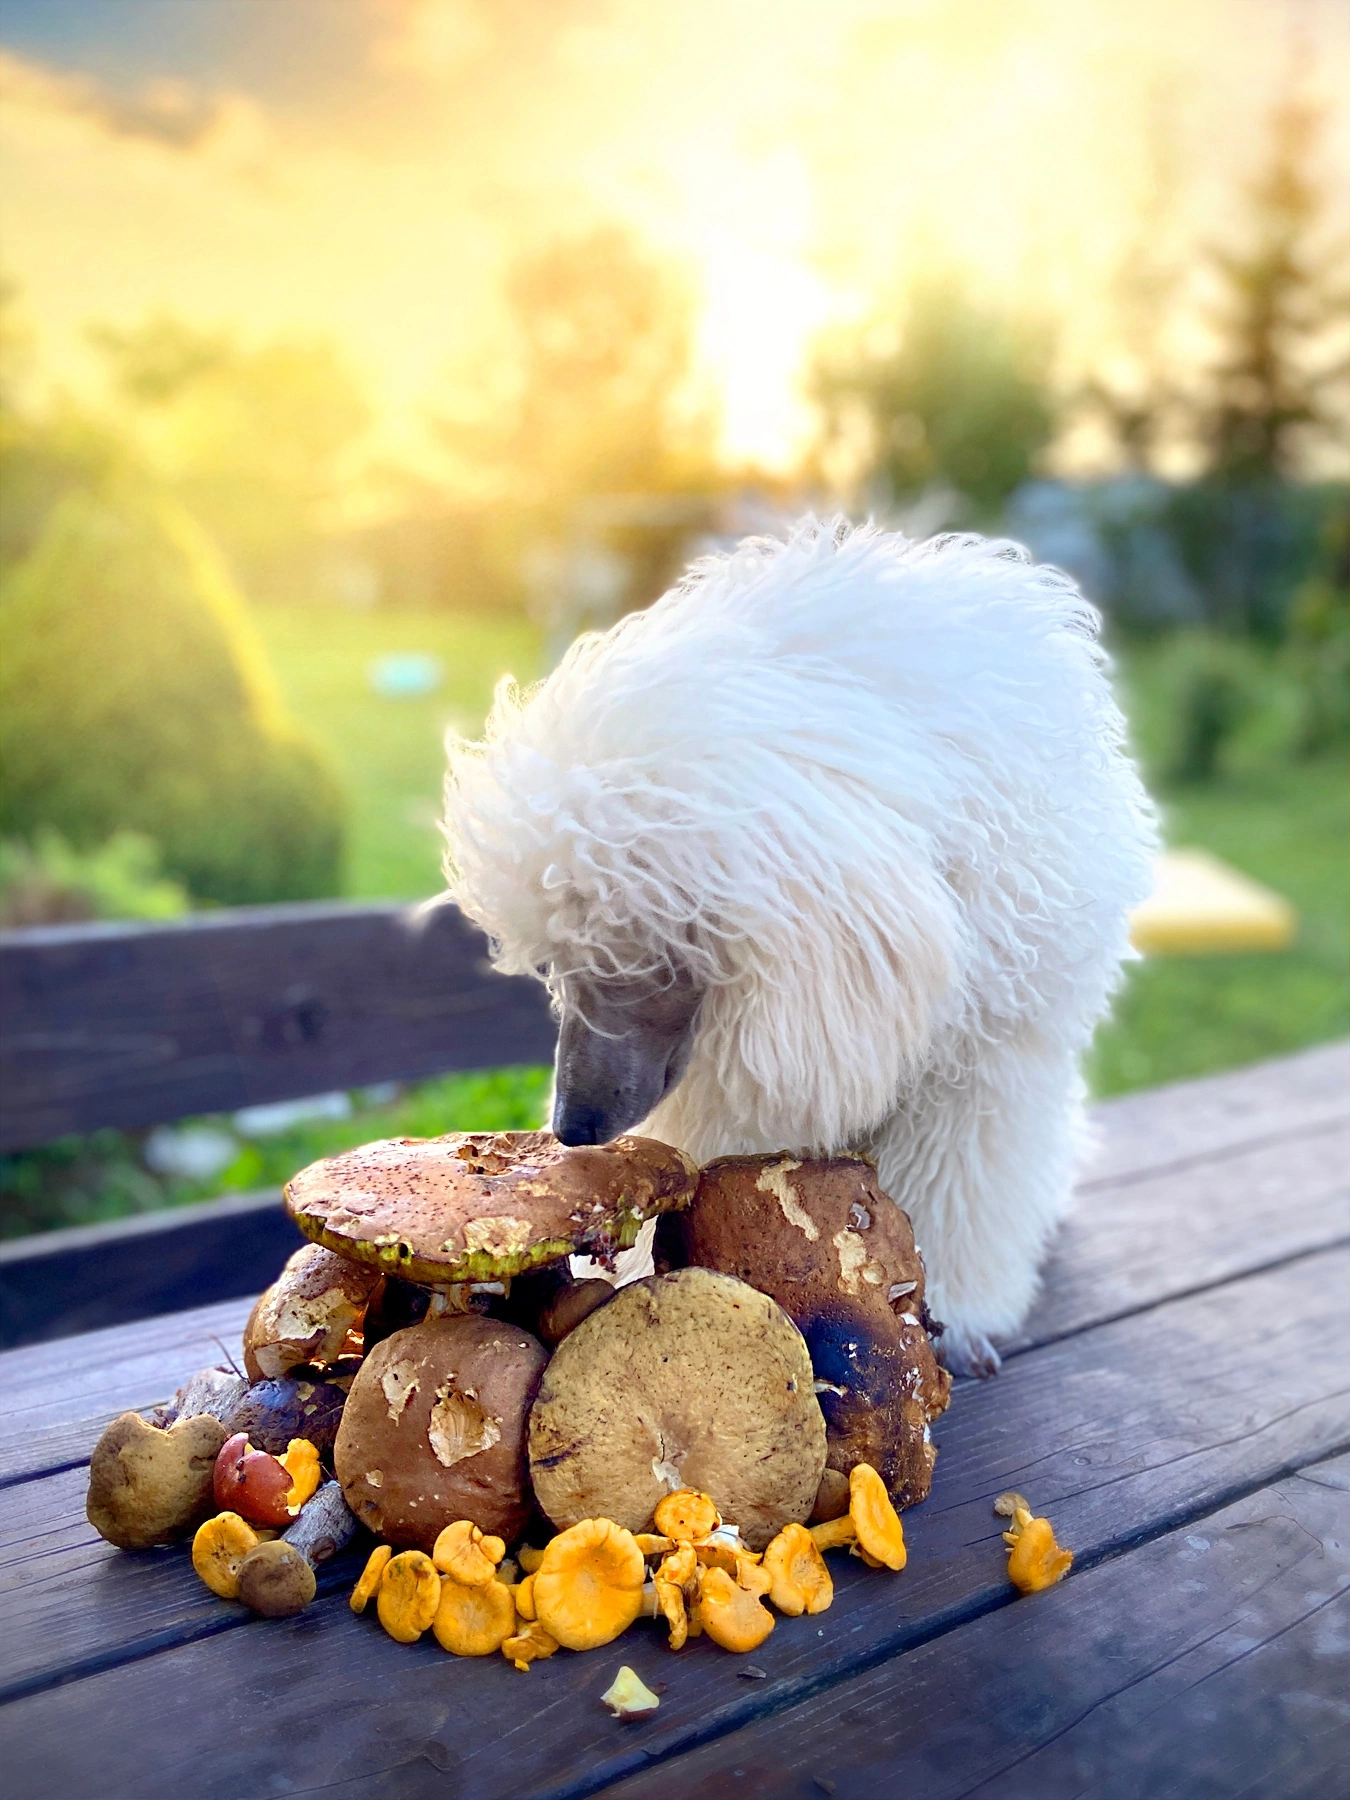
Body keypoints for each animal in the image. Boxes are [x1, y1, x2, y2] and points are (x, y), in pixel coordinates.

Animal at [446, 522, 1166, 1375]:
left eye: (639, 952)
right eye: (556, 965)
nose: (570, 1128)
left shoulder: (983, 1070)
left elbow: (962, 1192)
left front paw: (959, 1311)